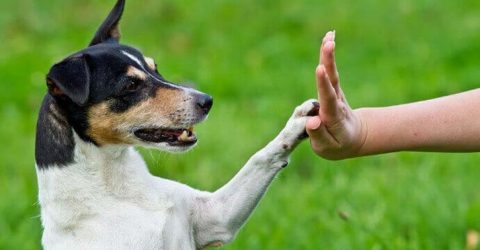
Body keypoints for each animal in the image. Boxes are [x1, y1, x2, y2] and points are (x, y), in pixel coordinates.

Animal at [34, 0, 318, 249]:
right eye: (130, 85)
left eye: (155, 68)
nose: (207, 101)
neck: (118, 189)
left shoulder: (216, 217)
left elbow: (260, 158)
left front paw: (299, 122)